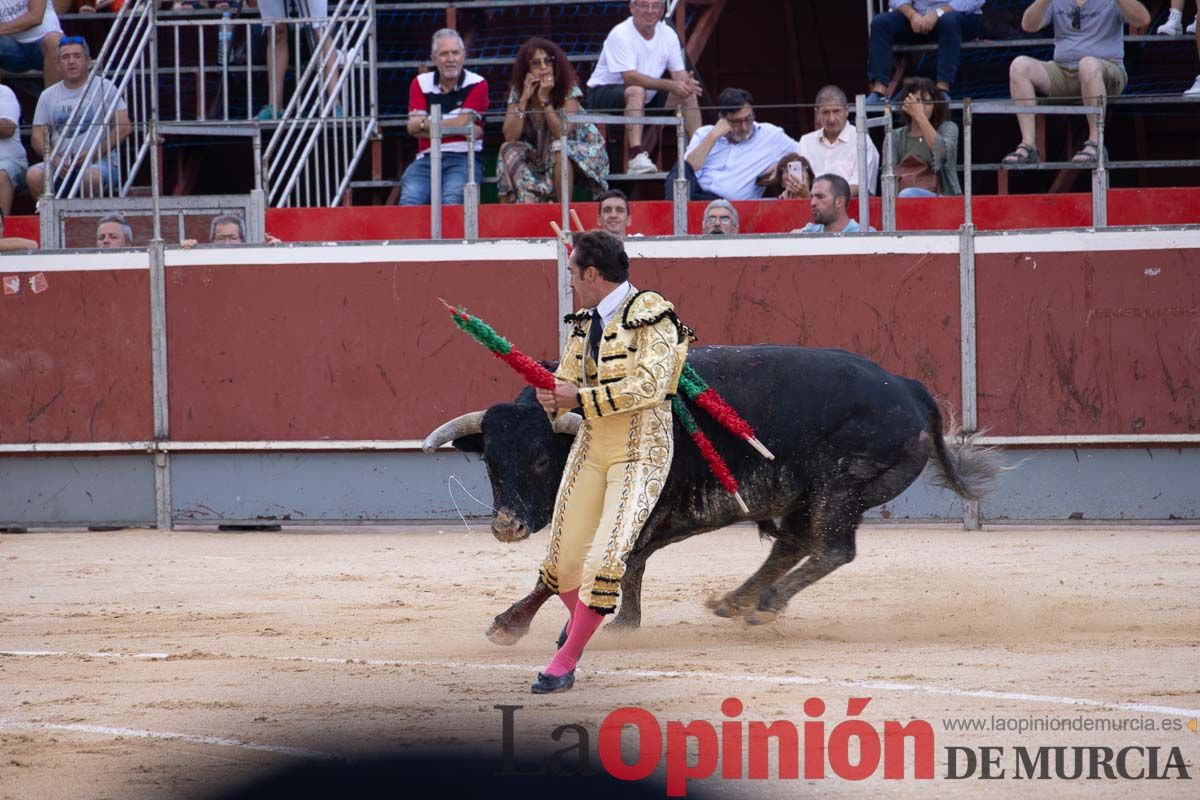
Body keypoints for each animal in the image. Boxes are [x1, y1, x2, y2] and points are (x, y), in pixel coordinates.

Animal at [424, 345, 1003, 642]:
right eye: (491, 461)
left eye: (543, 459)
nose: (506, 527)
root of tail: (907, 388)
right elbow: (609, 561)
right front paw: (621, 624)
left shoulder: (646, 506)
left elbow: (598, 560)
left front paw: (514, 624)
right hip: (811, 495)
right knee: (794, 544)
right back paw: (737, 601)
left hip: (838, 489)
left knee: (833, 548)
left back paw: (765, 603)